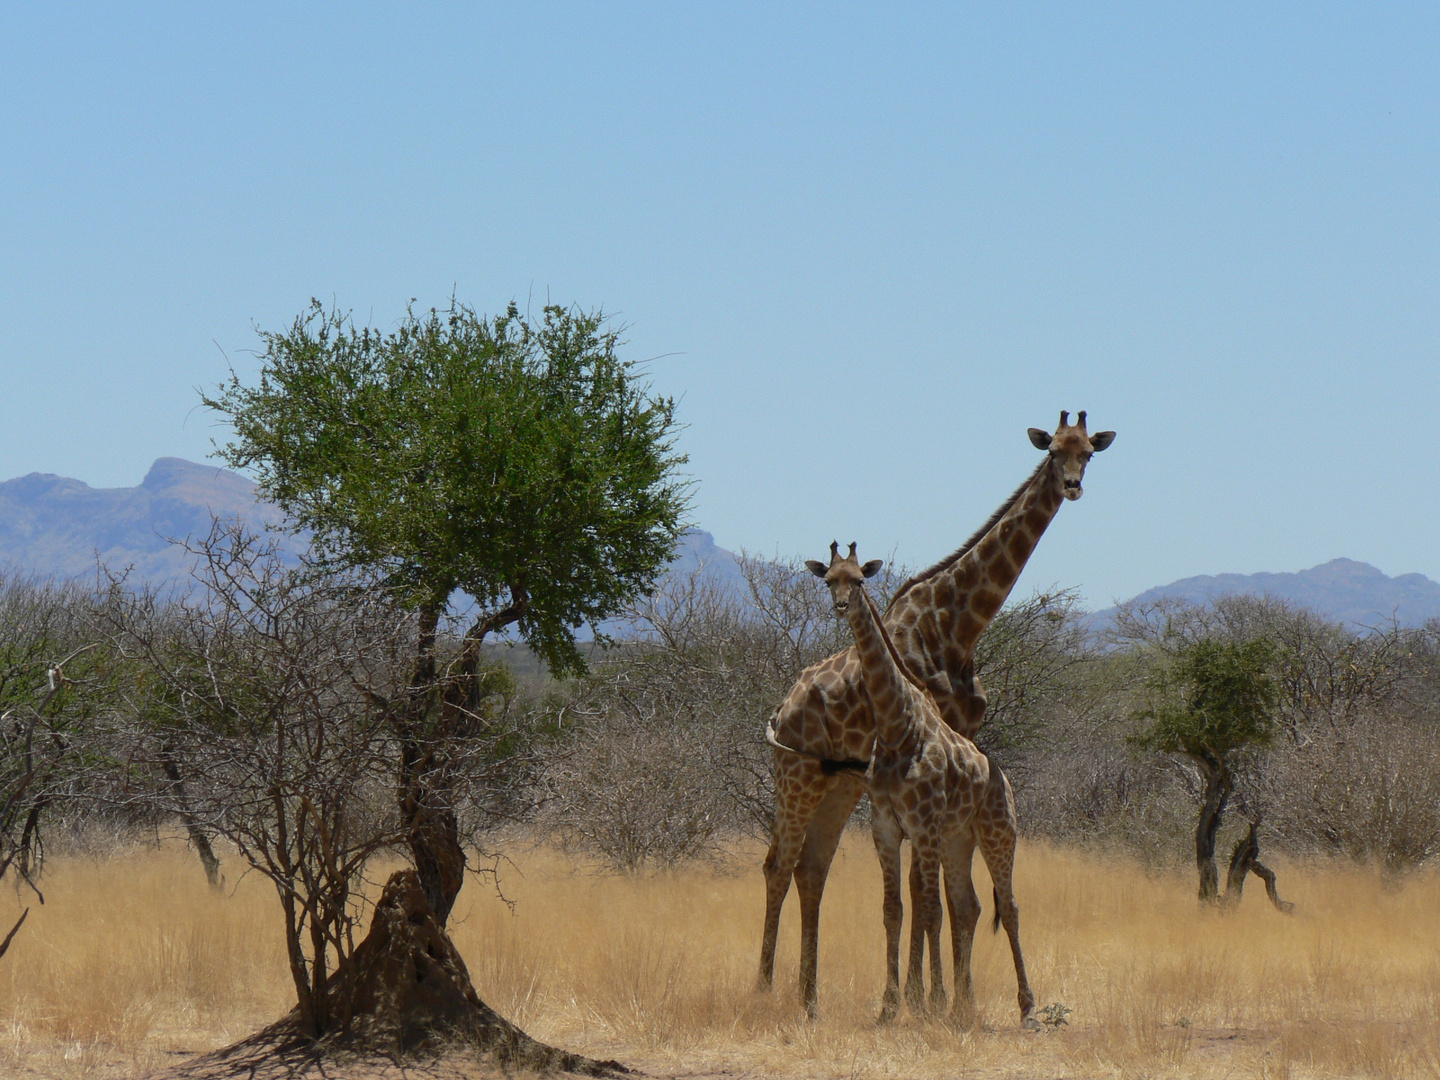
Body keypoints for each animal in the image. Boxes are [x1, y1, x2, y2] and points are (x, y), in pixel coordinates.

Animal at [812, 544, 1036, 1025]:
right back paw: (965, 1007)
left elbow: (930, 908)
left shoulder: (923, 824)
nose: (841, 606)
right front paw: (889, 1006)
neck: (897, 727)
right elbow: (894, 909)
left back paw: (1027, 1007)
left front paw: (928, 1005)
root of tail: (1005, 781)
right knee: (970, 904)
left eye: (859, 579)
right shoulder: (886, 826)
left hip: (999, 832)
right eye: (829, 580)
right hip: (958, 840)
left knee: (1009, 906)